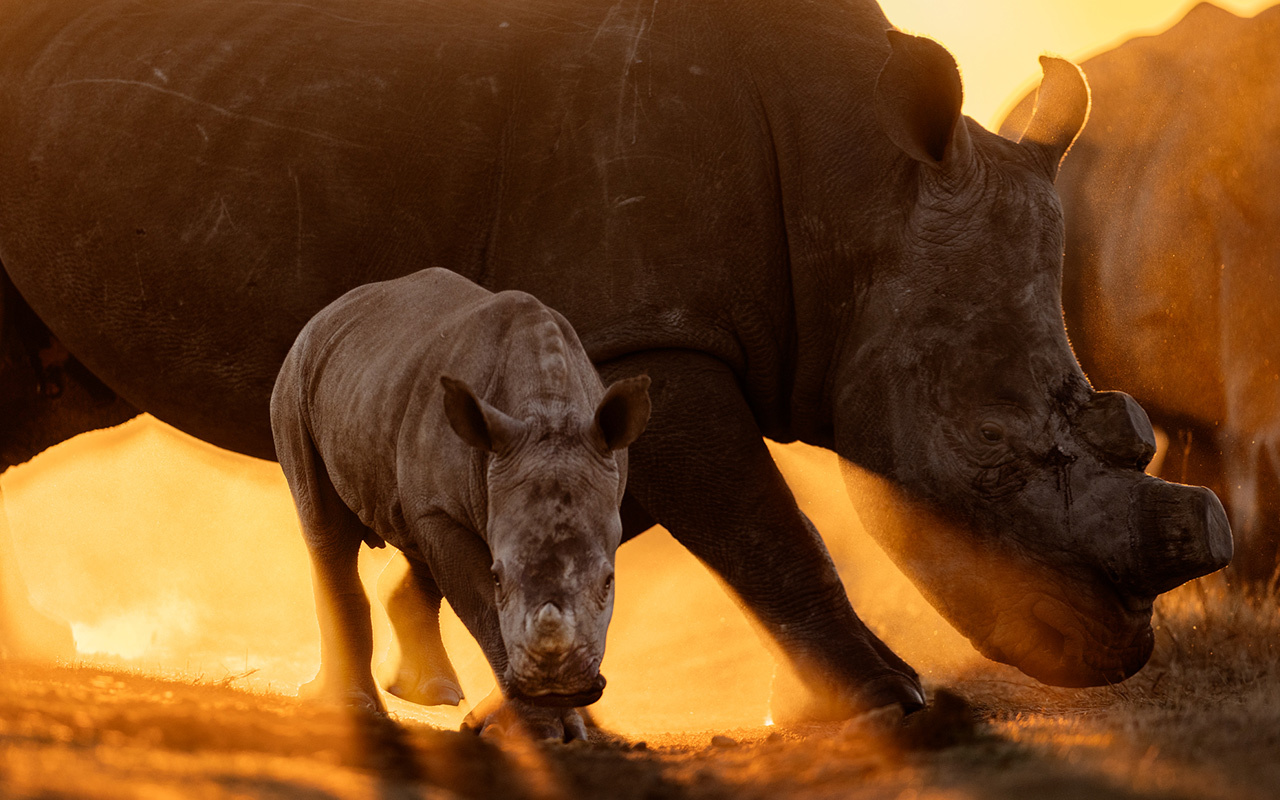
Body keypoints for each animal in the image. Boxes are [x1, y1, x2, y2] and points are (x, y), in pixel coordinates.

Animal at [272, 268, 649, 739]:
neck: (548, 413)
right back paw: (353, 705)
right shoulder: (447, 511)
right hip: (296, 379)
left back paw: (430, 695)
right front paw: (540, 730)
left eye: (609, 582)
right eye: (499, 577)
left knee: (411, 535)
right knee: (326, 530)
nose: (560, 687)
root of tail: (328, 312)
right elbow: (485, 610)